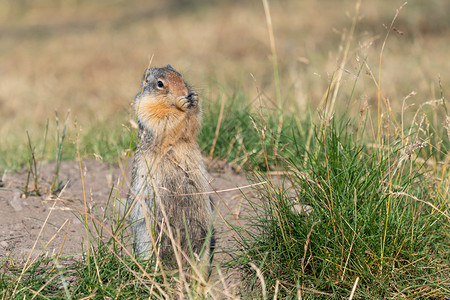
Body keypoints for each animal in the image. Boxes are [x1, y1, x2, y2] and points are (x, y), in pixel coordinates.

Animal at [126, 64, 214, 268]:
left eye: (181, 77)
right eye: (160, 83)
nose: (186, 93)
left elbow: (192, 125)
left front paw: (195, 100)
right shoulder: (145, 108)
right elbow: (163, 121)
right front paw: (182, 104)